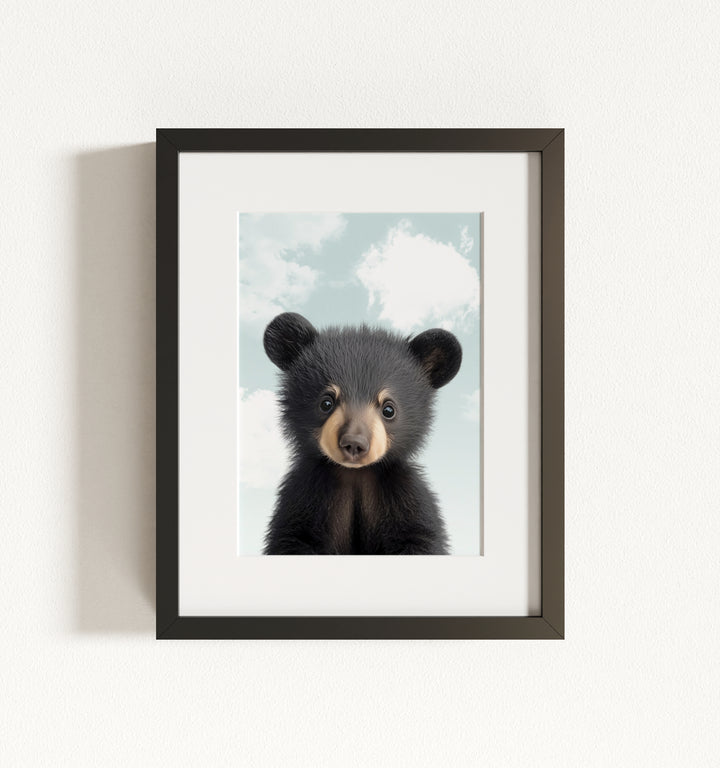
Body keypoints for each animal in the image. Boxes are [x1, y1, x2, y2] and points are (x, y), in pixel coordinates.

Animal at [262, 312, 462, 555]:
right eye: (326, 403)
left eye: (389, 409)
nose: (354, 444)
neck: (355, 474)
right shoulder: (305, 496)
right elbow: (293, 536)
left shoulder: (403, 494)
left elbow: (420, 536)